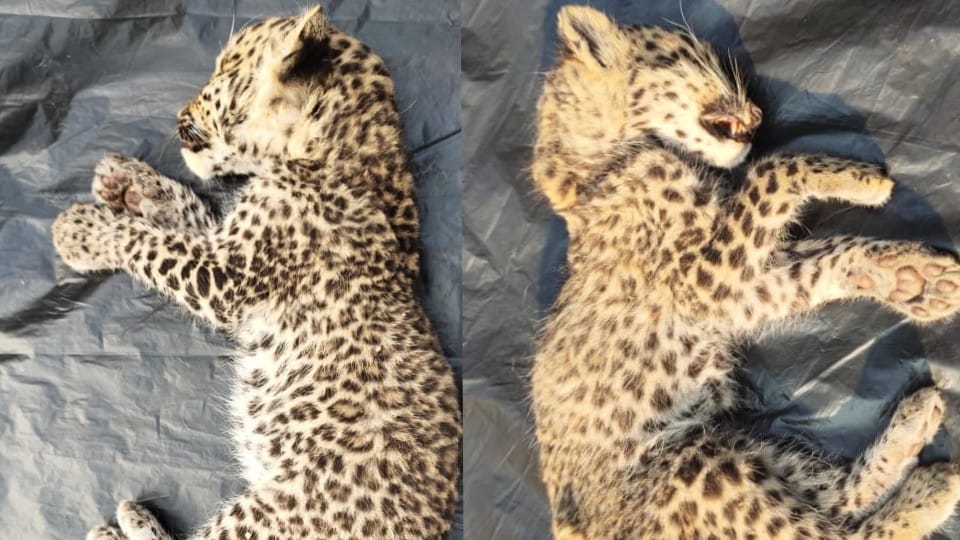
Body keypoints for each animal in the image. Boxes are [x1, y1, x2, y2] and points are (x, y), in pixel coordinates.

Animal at [51, 6, 460, 539]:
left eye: (225, 70)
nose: (177, 118)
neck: (341, 146)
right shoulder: (226, 241)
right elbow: (187, 212)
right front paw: (132, 184)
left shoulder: (229, 275)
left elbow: (150, 244)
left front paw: (83, 231)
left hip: (275, 514)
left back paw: (121, 525)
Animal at [529, 5, 960, 540]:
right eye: (692, 56)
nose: (757, 115)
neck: (596, 166)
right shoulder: (708, 279)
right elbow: (772, 169)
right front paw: (862, 180)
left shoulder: (744, 285)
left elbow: (825, 255)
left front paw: (914, 279)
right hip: (692, 467)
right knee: (836, 532)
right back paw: (932, 487)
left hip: (748, 450)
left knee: (837, 500)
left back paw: (916, 427)